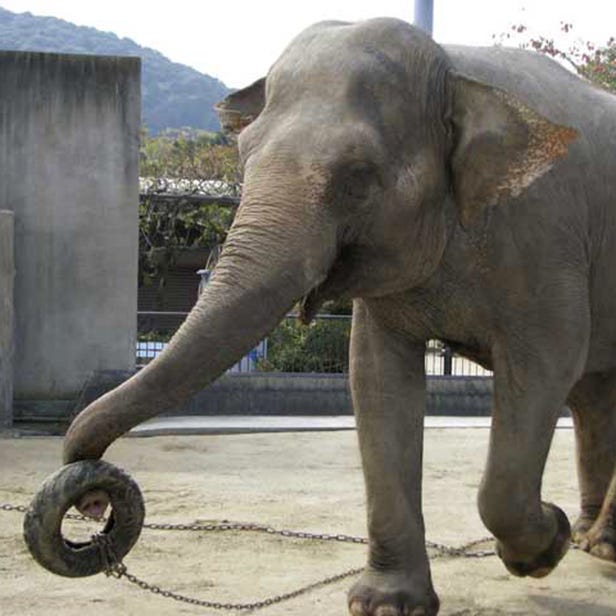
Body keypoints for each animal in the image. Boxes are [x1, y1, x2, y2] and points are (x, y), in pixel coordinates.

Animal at [63, 16, 616, 612]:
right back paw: (591, 539)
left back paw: (595, 544)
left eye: (358, 175)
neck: (453, 69)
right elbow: (376, 380)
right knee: (593, 396)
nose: (92, 497)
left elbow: (545, 365)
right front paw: (386, 604)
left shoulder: (546, 238)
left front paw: (541, 548)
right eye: (244, 154)